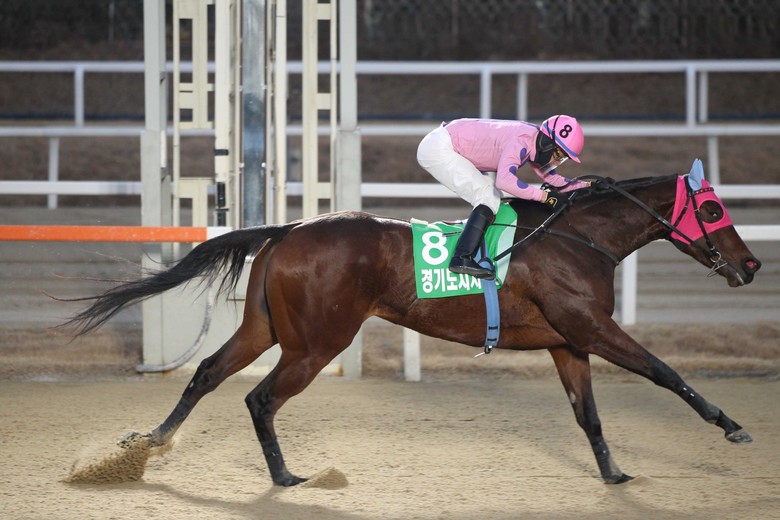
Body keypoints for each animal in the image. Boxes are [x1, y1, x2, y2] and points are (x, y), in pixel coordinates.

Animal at [61, 169, 762, 487]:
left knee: (206, 373)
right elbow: (665, 372)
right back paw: (287, 477)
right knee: (259, 397)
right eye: (711, 210)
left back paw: (144, 444)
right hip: (318, 342)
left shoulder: (568, 343)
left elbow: (587, 413)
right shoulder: (591, 328)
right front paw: (731, 426)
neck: (578, 238)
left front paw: (614, 473)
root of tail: (289, 228)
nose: (753, 264)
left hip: (266, 329)